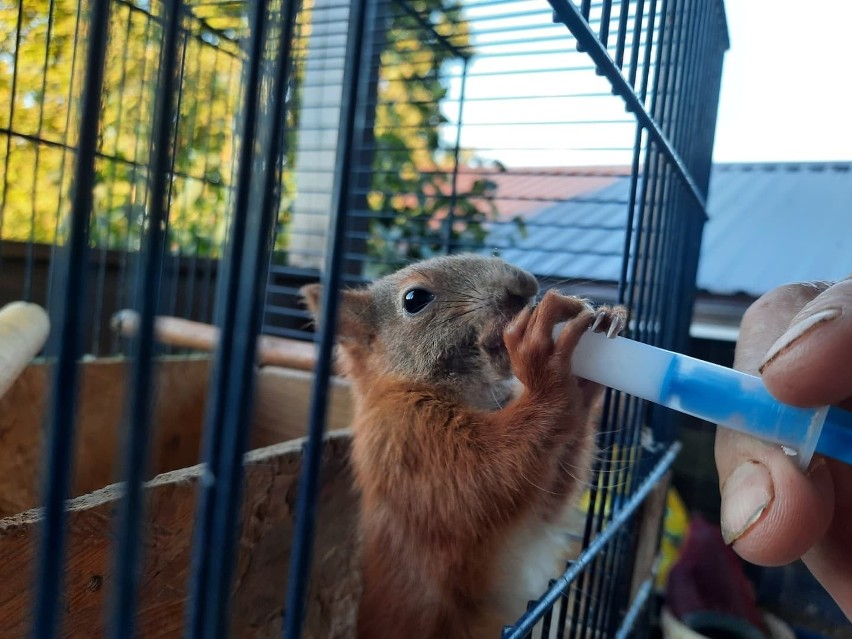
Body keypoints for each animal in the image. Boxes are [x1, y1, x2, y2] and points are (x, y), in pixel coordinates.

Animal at [302, 255, 624, 639]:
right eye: (414, 299)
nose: (524, 286)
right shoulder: (407, 440)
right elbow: (479, 480)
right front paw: (544, 364)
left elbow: (552, 497)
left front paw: (598, 341)